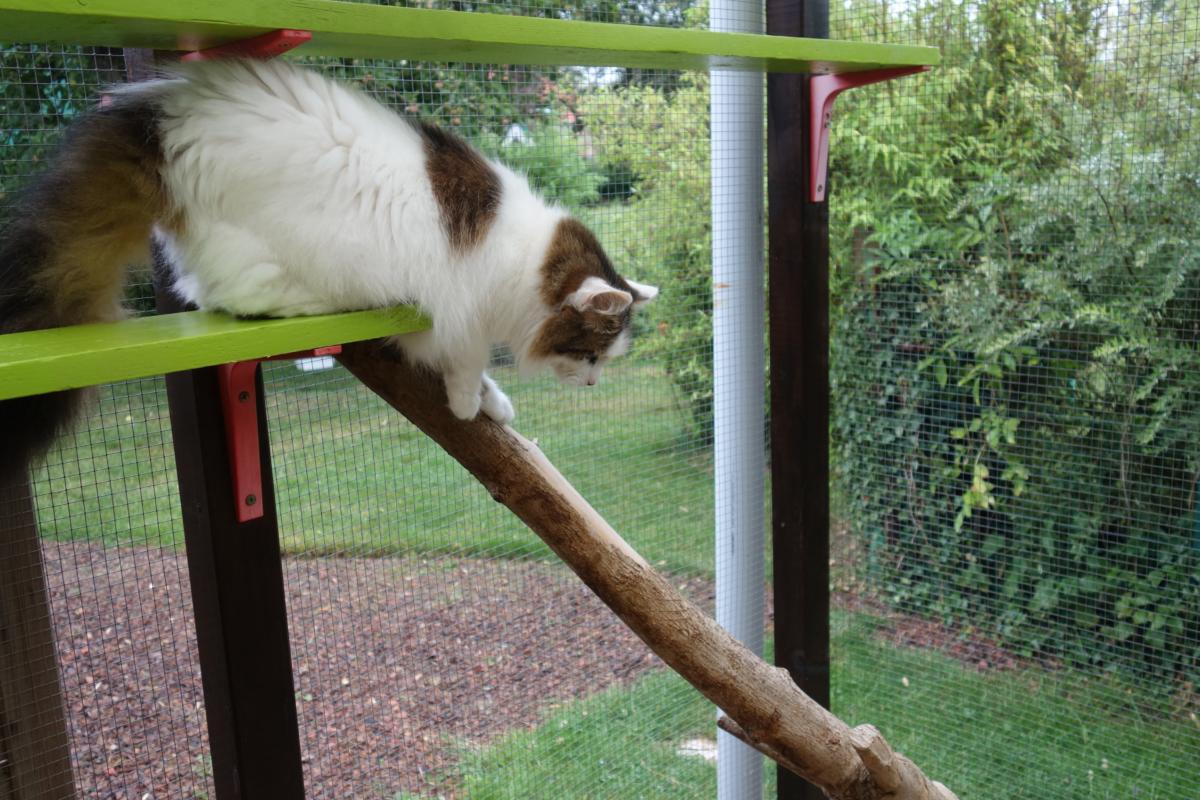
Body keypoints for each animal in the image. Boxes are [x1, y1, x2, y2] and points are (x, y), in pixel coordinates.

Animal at [0, 58, 656, 481]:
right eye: (591, 356)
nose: (594, 385)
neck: (524, 259)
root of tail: (162, 119)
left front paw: (494, 405)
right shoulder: (458, 308)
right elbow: (466, 363)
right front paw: (471, 404)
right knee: (227, 297)